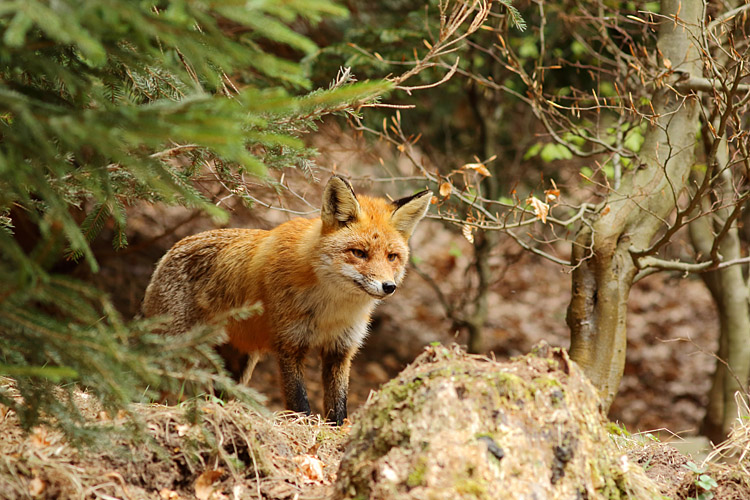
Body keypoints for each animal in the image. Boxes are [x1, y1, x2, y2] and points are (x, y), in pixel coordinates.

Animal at [142, 176, 431, 424]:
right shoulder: (290, 344)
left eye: (392, 257)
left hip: (240, 362)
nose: (389, 287)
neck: (331, 310)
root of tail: (171, 249)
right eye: (359, 253)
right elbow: (299, 402)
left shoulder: (340, 349)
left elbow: (338, 406)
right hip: (176, 349)